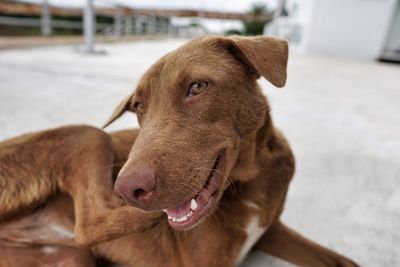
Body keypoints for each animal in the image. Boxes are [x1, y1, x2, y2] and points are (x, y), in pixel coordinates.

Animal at [0, 36, 356, 267]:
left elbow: (345, 261)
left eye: (197, 87)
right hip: (88, 134)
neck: (252, 181)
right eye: (139, 106)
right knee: (88, 225)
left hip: (69, 256)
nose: (127, 190)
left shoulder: (271, 230)